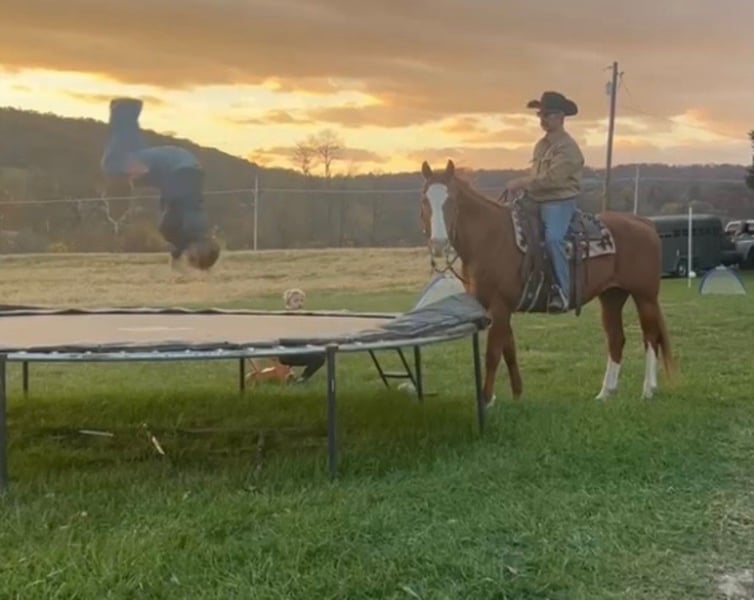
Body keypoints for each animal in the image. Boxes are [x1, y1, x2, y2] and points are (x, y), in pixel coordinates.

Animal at [418, 159, 675, 406]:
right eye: (424, 200)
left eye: (452, 200)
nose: (439, 243)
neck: (490, 238)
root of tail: (644, 223)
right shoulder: (500, 308)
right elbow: (509, 350)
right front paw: (516, 394)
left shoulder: (500, 306)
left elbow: (493, 353)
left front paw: (487, 399)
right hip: (612, 296)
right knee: (616, 339)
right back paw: (605, 393)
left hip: (644, 296)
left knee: (650, 337)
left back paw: (648, 390)